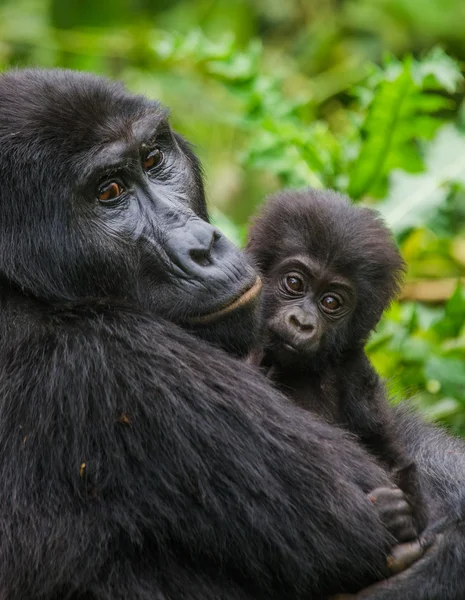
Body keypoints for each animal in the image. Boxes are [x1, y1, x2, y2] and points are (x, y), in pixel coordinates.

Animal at [246, 189, 428, 540]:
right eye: (294, 283)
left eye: (331, 302)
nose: (302, 323)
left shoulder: (355, 371)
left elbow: (385, 450)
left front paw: (403, 514)